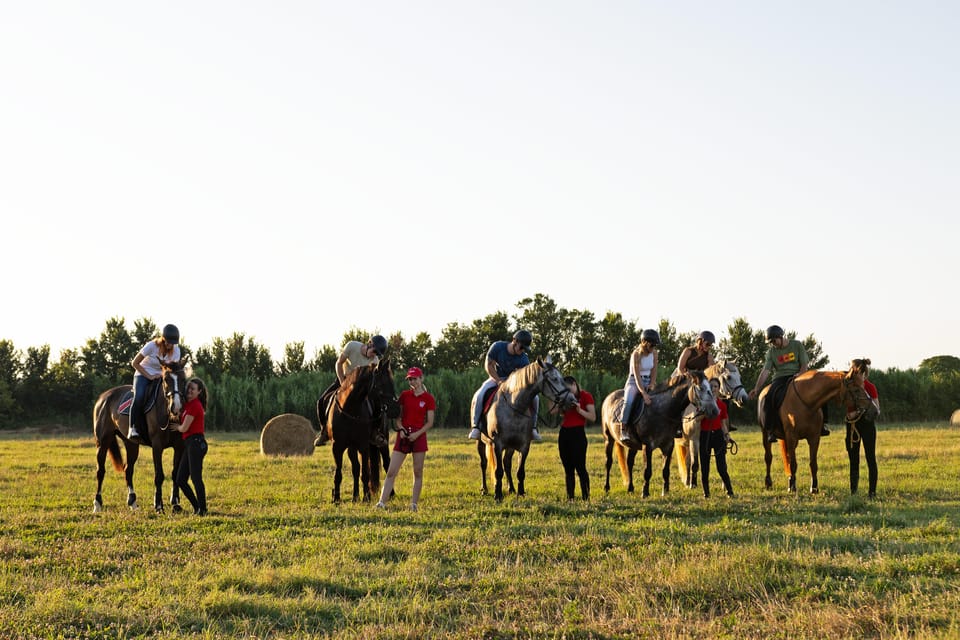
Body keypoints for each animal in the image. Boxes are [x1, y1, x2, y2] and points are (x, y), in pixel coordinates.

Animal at [93, 362, 187, 512]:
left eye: (183, 379)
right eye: (166, 380)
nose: (176, 407)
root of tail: (103, 397)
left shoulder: (179, 446)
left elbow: (175, 473)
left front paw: (175, 503)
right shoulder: (157, 446)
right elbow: (159, 475)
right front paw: (158, 505)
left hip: (131, 444)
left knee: (128, 469)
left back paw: (132, 502)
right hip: (103, 442)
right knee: (100, 471)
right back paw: (97, 504)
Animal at [322, 358, 398, 502]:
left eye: (392, 383)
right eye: (382, 384)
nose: (397, 409)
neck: (349, 409)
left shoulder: (363, 446)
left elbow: (366, 473)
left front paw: (366, 497)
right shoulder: (337, 447)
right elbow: (340, 473)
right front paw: (337, 498)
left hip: (381, 443)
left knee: (387, 464)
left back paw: (390, 494)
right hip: (352, 448)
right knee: (356, 468)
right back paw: (355, 496)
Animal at [480, 358, 576, 502]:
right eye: (554, 379)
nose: (572, 400)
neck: (515, 407)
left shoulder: (524, 445)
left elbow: (520, 471)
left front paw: (521, 493)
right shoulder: (498, 444)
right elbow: (498, 471)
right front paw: (498, 495)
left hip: (510, 446)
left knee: (507, 463)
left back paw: (511, 489)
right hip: (482, 442)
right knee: (484, 463)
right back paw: (485, 490)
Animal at [760, 360, 880, 496]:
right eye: (856, 390)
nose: (875, 411)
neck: (806, 403)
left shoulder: (814, 438)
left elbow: (813, 463)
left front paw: (814, 488)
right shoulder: (791, 438)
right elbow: (793, 463)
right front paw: (793, 487)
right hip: (766, 434)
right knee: (768, 457)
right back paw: (769, 483)